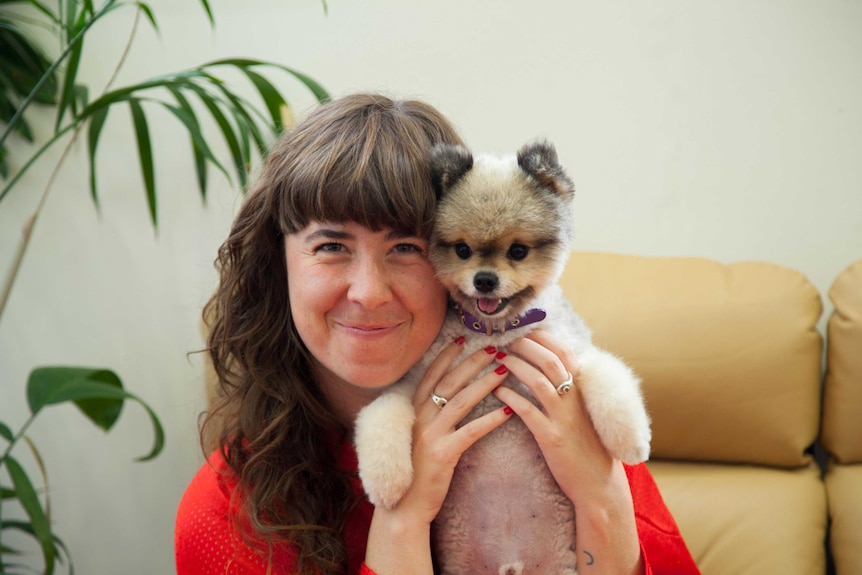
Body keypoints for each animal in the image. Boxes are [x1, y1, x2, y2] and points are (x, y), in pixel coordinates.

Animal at [354, 141, 652, 575]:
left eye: (518, 251)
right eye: (462, 250)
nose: (484, 280)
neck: (493, 333)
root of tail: (510, 565)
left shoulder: (571, 350)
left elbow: (604, 376)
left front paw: (631, 439)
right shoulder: (412, 384)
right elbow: (382, 414)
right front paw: (387, 481)